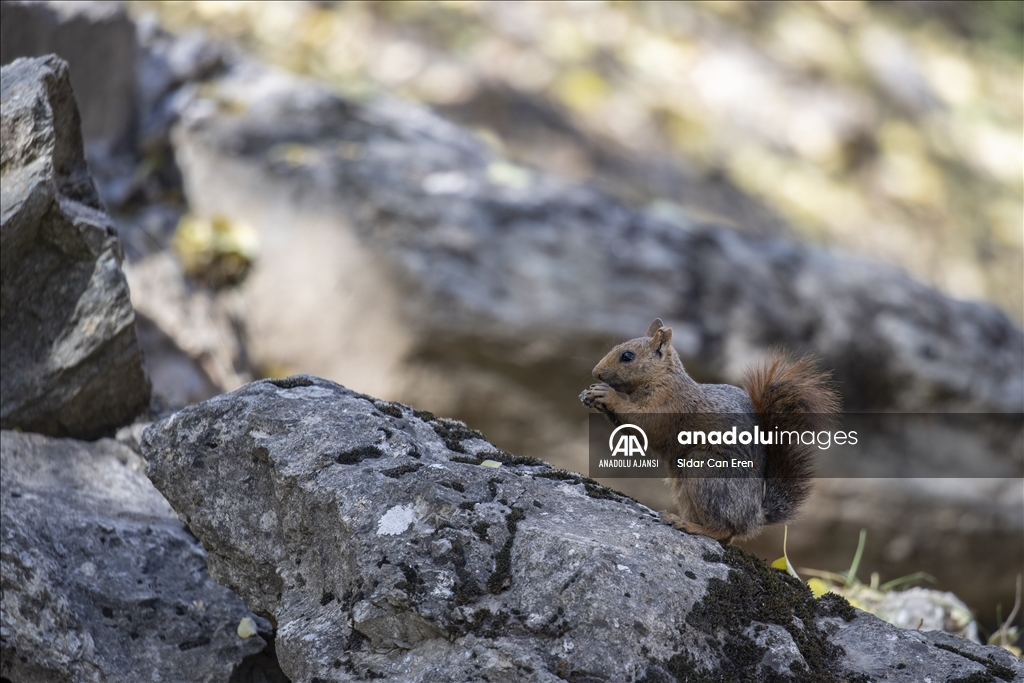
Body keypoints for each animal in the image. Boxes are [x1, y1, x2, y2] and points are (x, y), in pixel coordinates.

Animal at [581, 319, 835, 544]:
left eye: (627, 356)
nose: (595, 372)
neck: (662, 378)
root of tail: (755, 517)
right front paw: (590, 395)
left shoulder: (669, 405)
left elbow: (643, 422)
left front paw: (607, 395)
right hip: (683, 484)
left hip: (706, 471)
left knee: (723, 531)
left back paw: (687, 525)